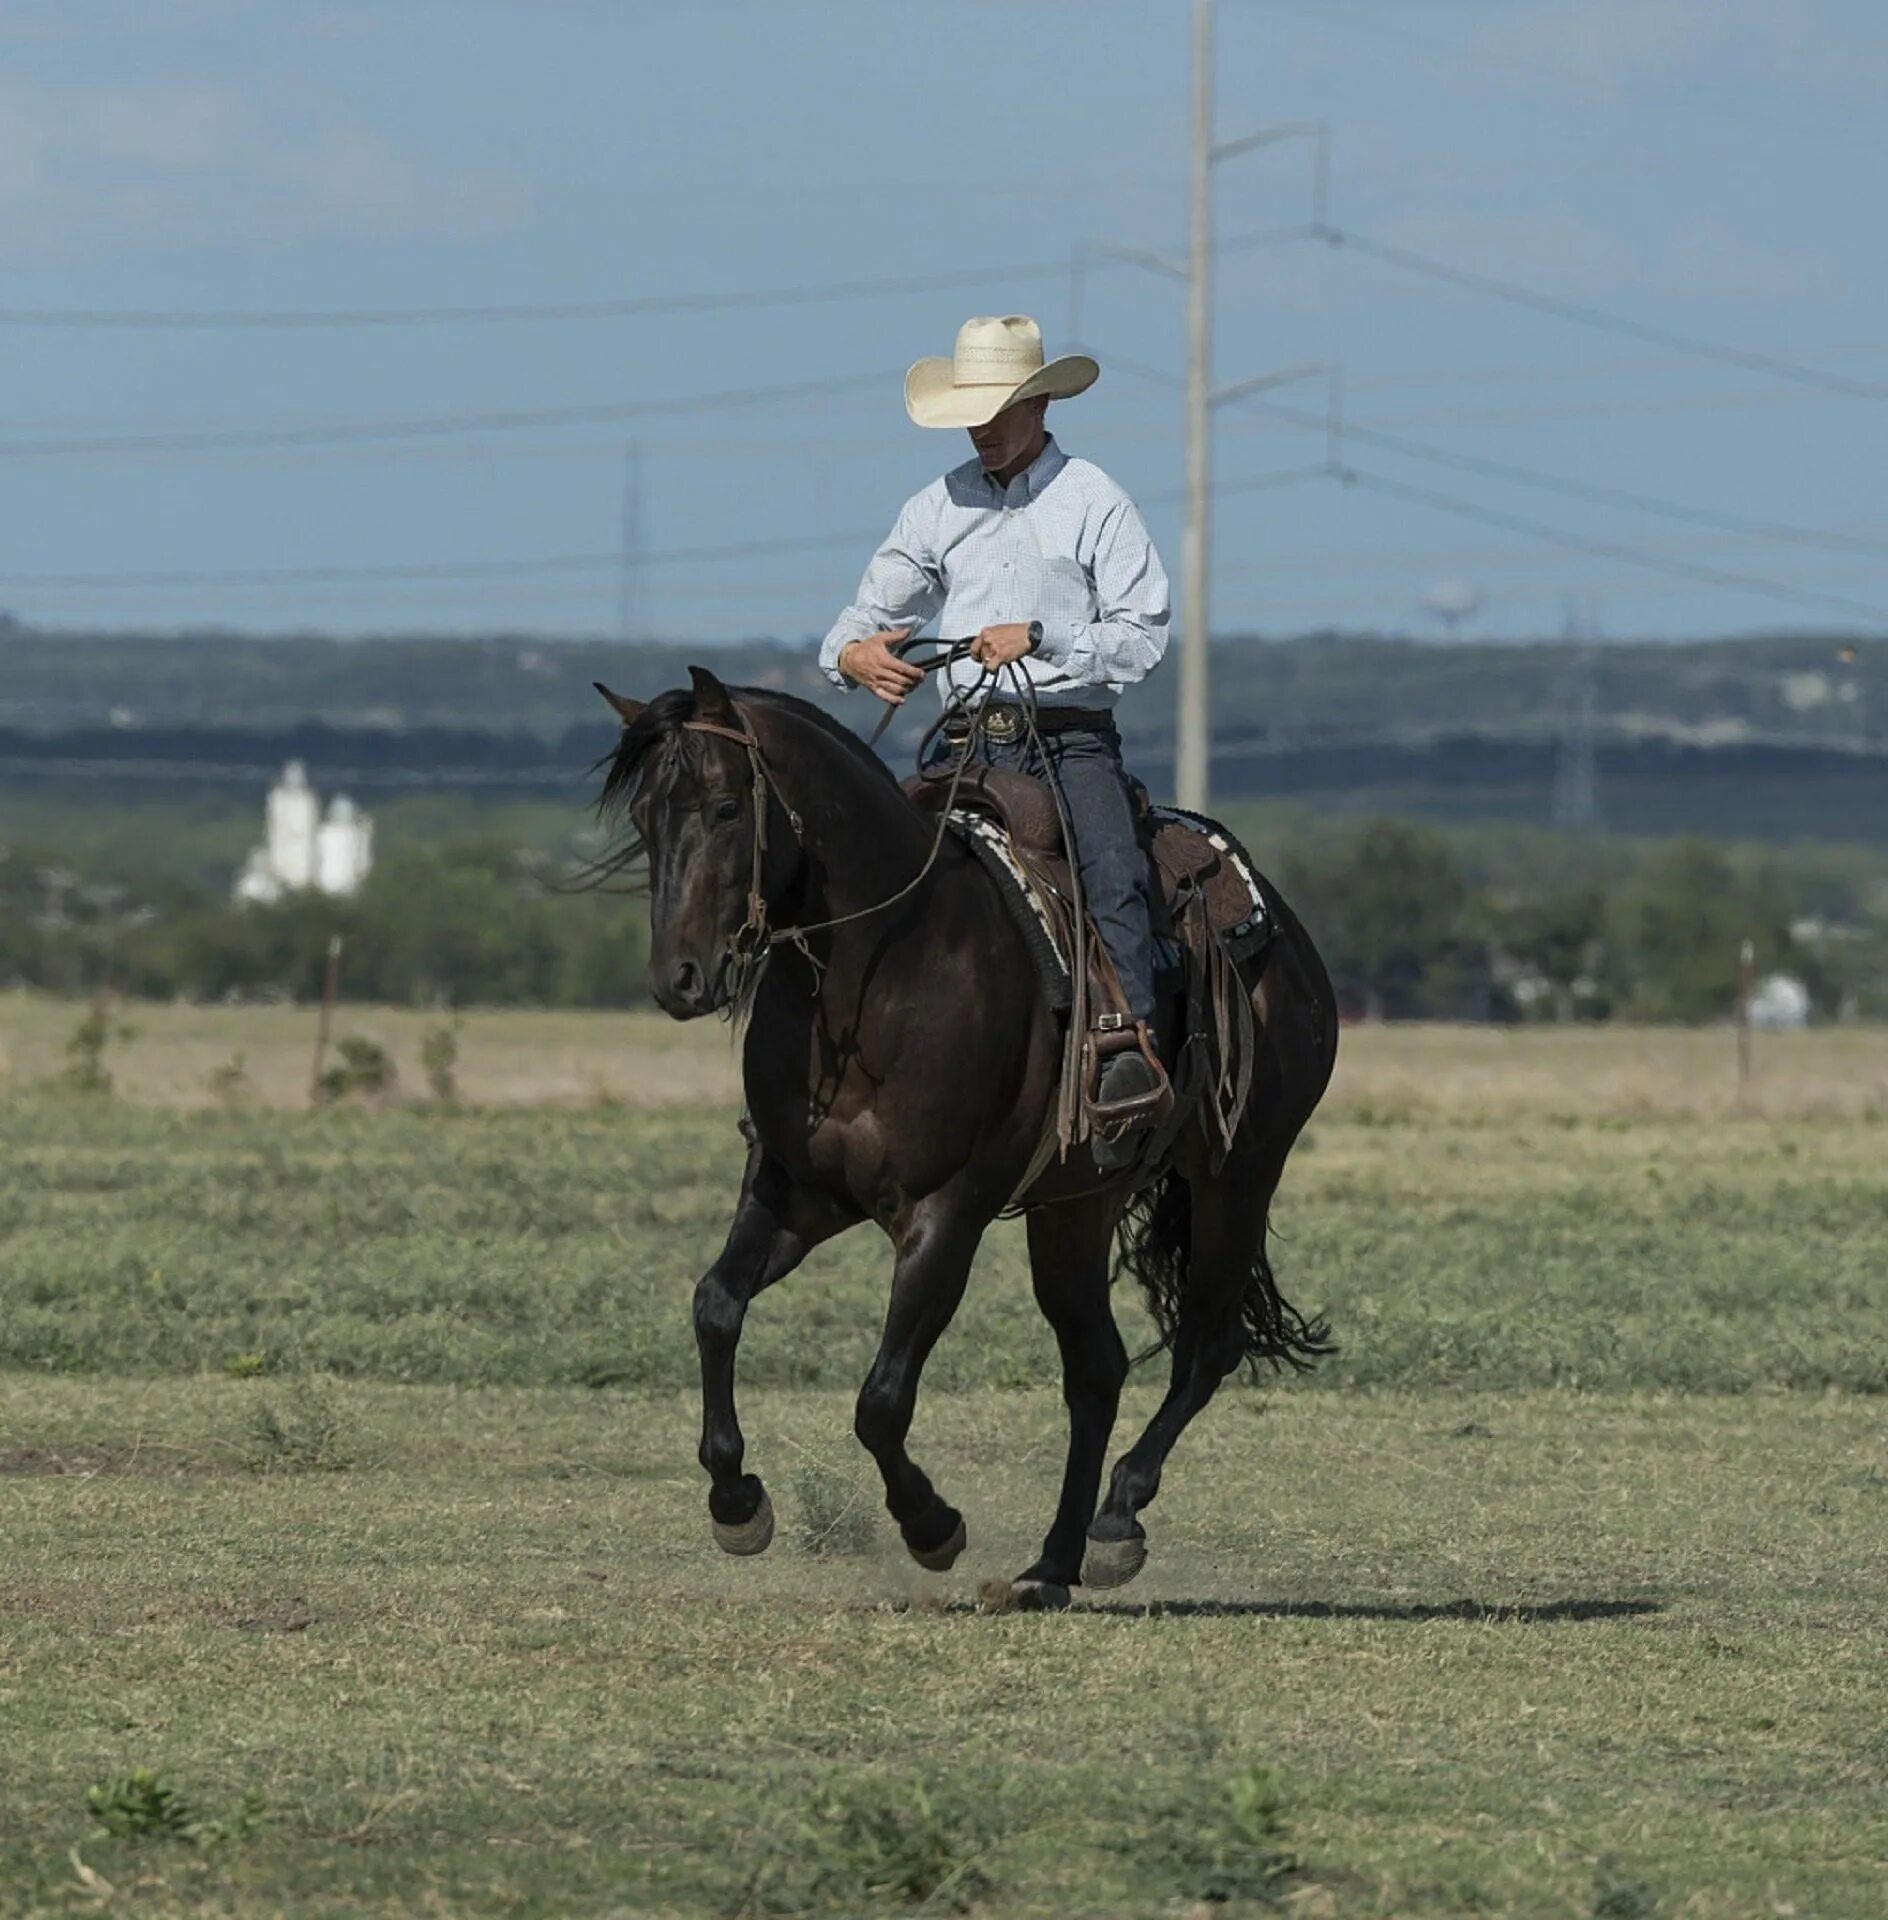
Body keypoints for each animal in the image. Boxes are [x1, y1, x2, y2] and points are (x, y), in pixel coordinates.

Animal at [599, 675, 1336, 1605]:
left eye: (728, 807)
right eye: (643, 820)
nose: (679, 980)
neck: (882, 972)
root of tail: (1287, 936)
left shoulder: (944, 1214)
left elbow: (881, 1400)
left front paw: (932, 1527)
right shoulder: (797, 1192)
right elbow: (716, 1305)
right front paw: (737, 1503)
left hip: (1237, 1177)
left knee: (1206, 1347)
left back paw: (1117, 1521)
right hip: (1077, 1208)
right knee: (1097, 1369)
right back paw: (1051, 1566)